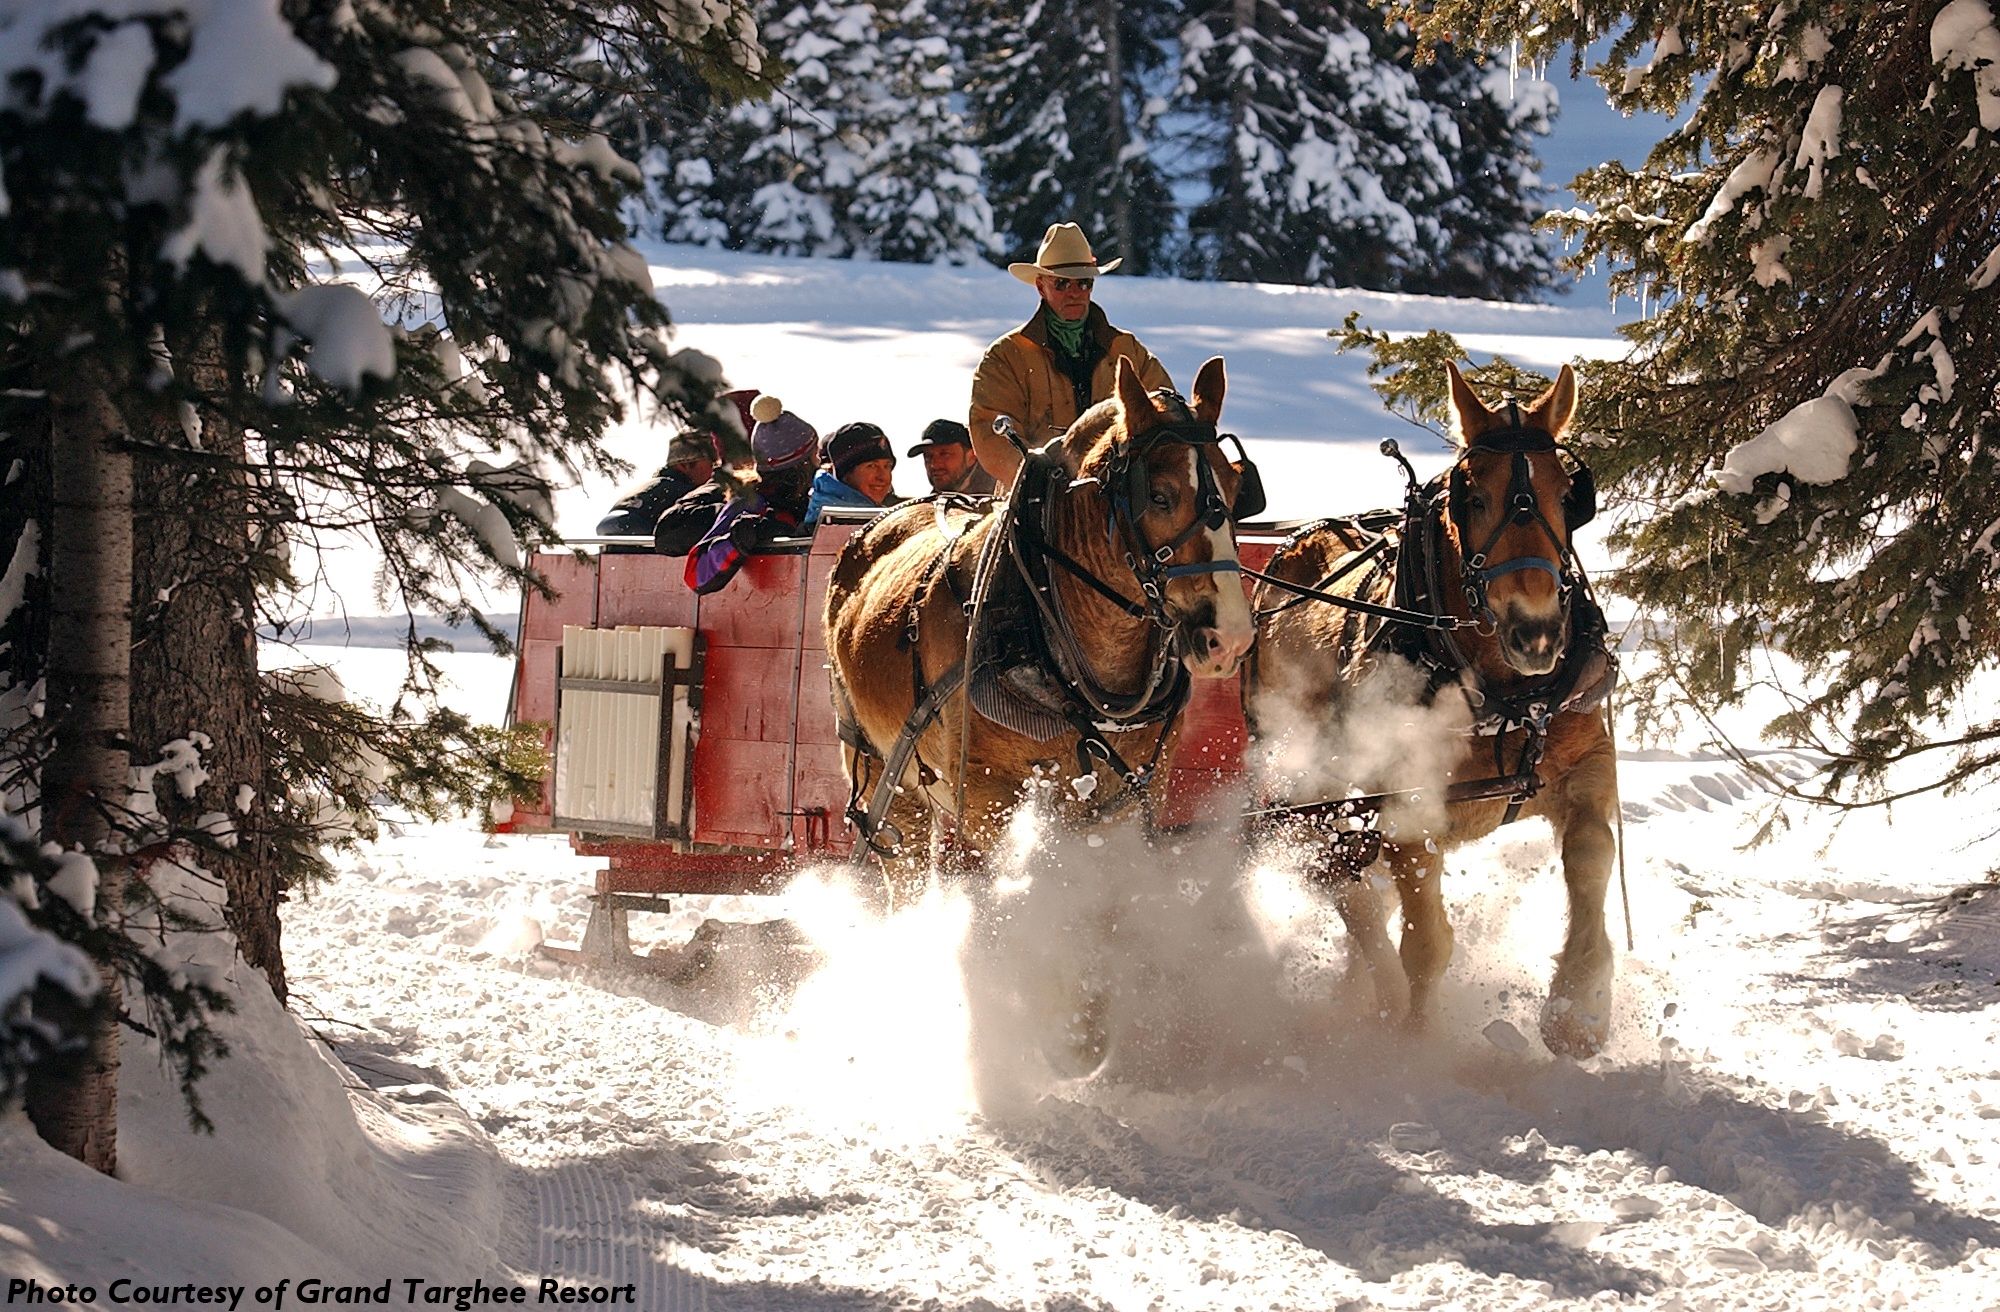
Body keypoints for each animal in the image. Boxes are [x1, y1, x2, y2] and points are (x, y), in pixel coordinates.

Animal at [824, 355, 1253, 904]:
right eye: (1159, 496)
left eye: (1237, 488)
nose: (1229, 636)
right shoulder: (986, 797)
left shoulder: (1137, 793)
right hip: (883, 768)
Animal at [1247, 362, 1620, 1056]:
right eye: (1471, 497)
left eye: (1568, 494)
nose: (1537, 634)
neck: (1502, 694)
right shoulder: (1404, 807)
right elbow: (1426, 945)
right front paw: (1418, 1043)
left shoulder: (1586, 762)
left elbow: (1590, 855)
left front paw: (1579, 1009)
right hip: (1309, 792)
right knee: (1351, 896)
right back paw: (1378, 1001)